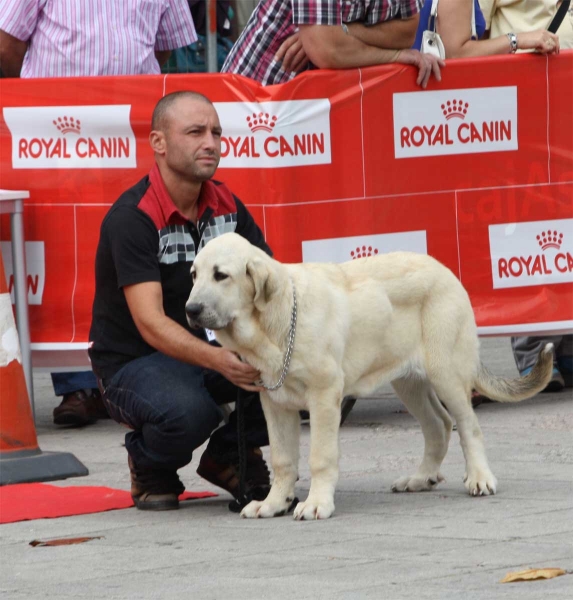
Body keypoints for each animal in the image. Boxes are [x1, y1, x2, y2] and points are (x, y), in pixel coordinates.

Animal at [185, 233, 552, 520]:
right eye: (194, 274)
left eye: (221, 275)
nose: (190, 310)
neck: (276, 320)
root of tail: (446, 270)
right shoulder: (274, 402)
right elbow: (283, 458)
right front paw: (273, 504)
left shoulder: (324, 396)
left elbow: (320, 457)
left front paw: (316, 504)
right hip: (408, 383)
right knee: (439, 425)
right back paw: (421, 478)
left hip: (446, 373)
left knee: (468, 426)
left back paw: (479, 478)